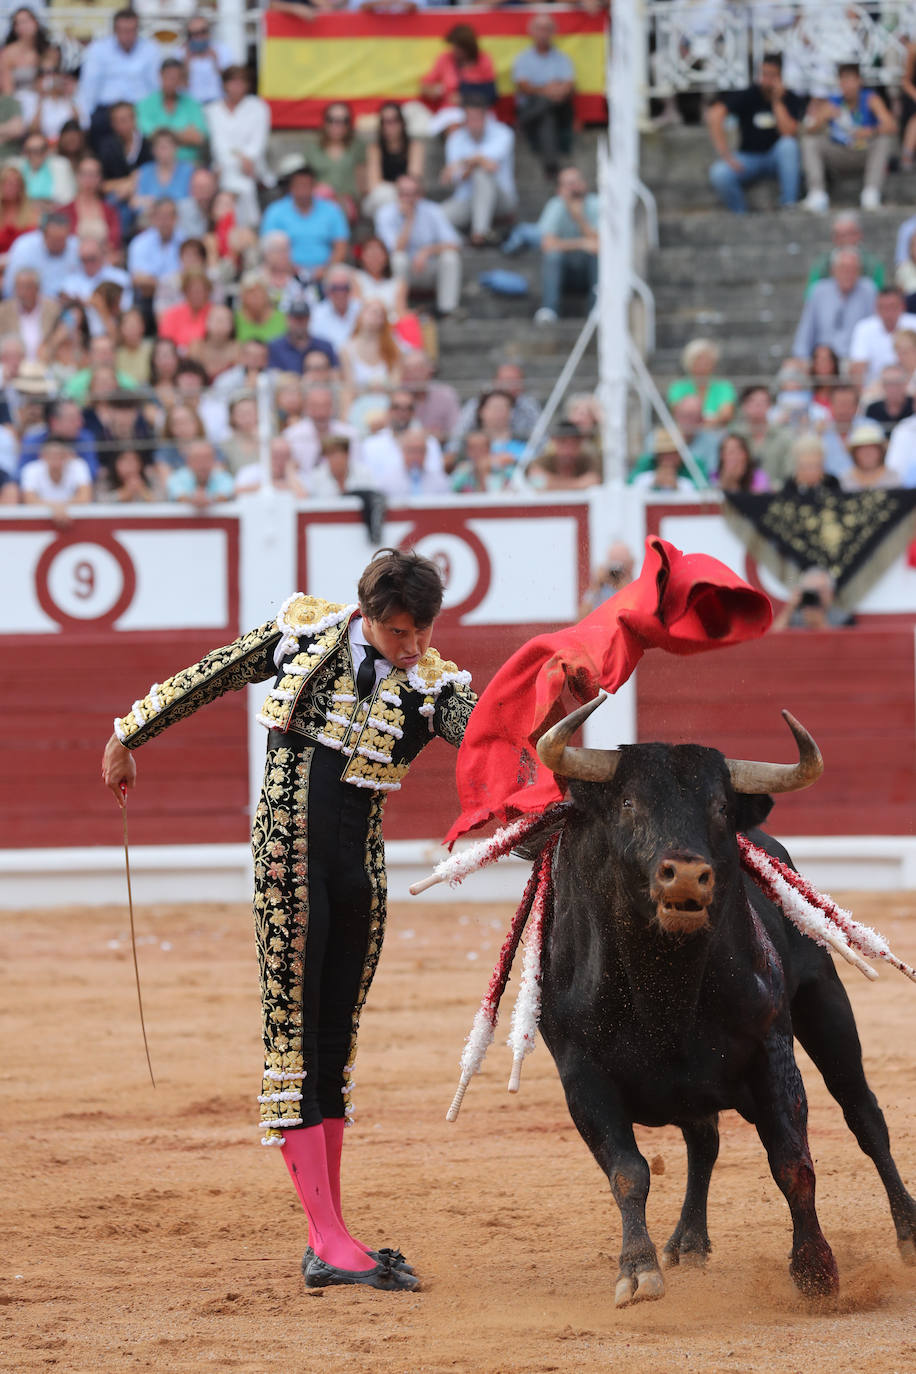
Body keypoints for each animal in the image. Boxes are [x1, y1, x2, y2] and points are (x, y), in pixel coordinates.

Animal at [532, 703, 911, 1302]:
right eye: (628, 804)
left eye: (719, 807)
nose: (686, 874)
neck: (664, 981)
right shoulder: (580, 1075)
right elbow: (627, 1170)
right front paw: (637, 1269)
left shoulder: (771, 1049)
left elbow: (792, 1161)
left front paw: (815, 1267)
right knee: (703, 1142)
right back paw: (688, 1240)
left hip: (826, 1004)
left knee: (865, 1117)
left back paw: (909, 1236)